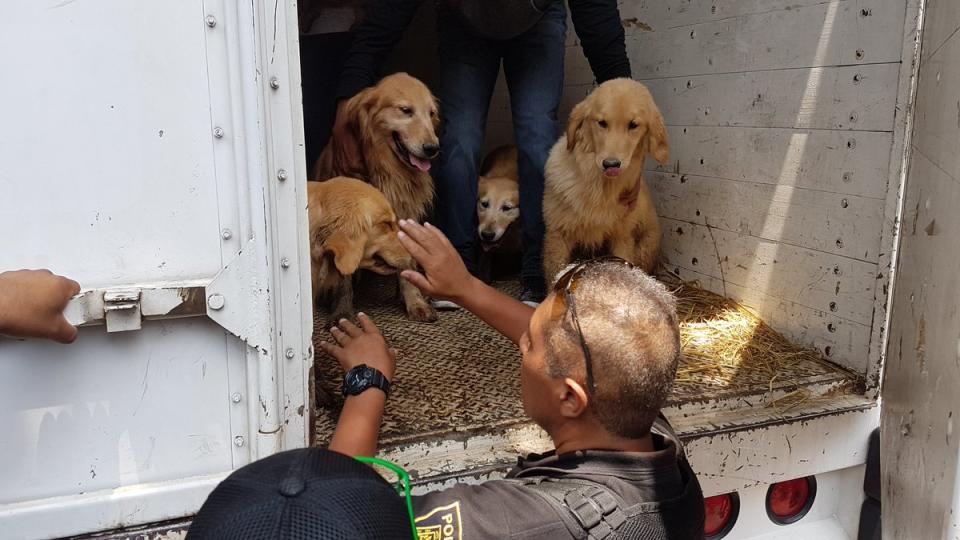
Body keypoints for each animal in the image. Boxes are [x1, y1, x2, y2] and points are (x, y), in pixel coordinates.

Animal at [544, 80, 672, 282]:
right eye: (602, 123)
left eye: (633, 125)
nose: (611, 164)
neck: (600, 187)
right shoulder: (558, 235)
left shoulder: (622, 237)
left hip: (646, 245)